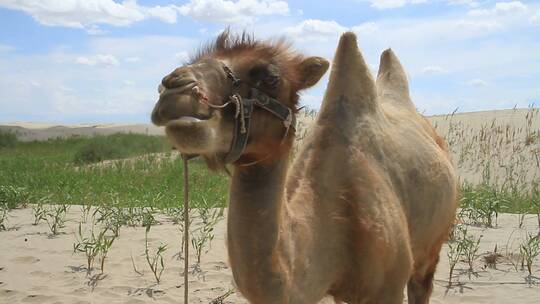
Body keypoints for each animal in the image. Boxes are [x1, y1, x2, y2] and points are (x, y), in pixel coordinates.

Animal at [151, 31, 456, 304]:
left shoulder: (387, 289)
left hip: (432, 244)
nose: (174, 88)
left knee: (421, 284)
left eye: (271, 78)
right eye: (196, 59)